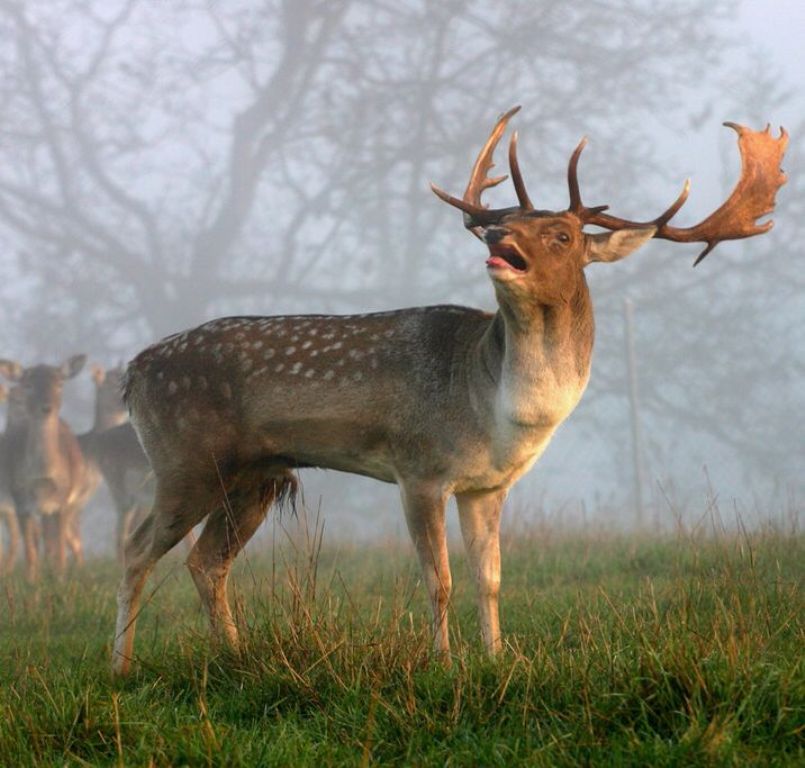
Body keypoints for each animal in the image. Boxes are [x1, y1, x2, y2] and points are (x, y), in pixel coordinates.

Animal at [0, 356, 95, 579]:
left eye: (59, 383)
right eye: (28, 385)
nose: (47, 407)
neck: (42, 475)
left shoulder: (62, 499)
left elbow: (59, 549)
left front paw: (60, 580)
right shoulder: (19, 499)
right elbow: (30, 551)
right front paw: (31, 582)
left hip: (72, 502)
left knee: (63, 542)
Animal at [112, 107, 787, 676]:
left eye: (563, 236)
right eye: (507, 222)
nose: (496, 241)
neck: (494, 411)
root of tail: (132, 371)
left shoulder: (487, 486)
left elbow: (489, 578)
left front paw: (498, 656)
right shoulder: (420, 468)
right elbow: (439, 579)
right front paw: (443, 662)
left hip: (256, 475)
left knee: (206, 561)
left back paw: (234, 655)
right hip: (185, 457)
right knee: (138, 548)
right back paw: (120, 665)